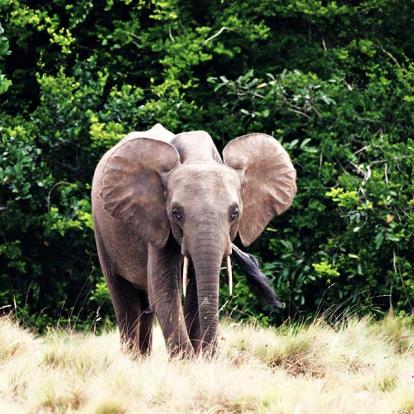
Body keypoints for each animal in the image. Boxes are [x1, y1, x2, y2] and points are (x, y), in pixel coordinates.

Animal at [92, 123, 296, 356]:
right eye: (176, 213)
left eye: (235, 213)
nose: (214, 352)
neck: (198, 156)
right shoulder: (156, 222)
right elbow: (163, 290)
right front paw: (187, 359)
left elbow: (195, 291)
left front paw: (201, 359)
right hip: (102, 232)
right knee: (124, 299)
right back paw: (130, 358)